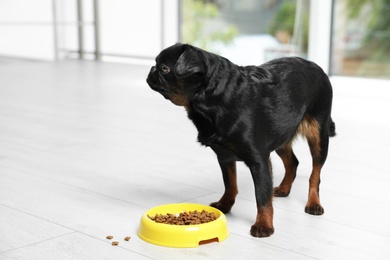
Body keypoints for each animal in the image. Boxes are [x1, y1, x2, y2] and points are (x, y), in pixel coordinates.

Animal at [146, 43, 336, 238]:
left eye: (164, 68)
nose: (152, 70)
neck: (213, 97)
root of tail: (317, 67)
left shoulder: (259, 161)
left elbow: (262, 196)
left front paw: (263, 225)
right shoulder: (225, 157)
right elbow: (230, 184)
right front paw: (225, 205)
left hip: (318, 137)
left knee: (315, 174)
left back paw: (313, 203)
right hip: (282, 135)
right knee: (293, 162)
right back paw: (284, 189)